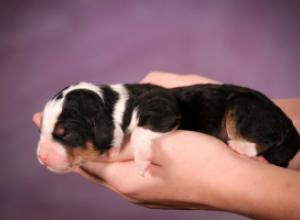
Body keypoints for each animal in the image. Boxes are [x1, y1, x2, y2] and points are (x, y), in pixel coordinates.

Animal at [37, 81, 300, 174]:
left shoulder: (164, 108)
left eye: (65, 134)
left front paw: (142, 161)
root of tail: (286, 120)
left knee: (268, 137)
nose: (41, 158)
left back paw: (240, 147)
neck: (116, 107)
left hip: (243, 109)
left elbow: (140, 131)